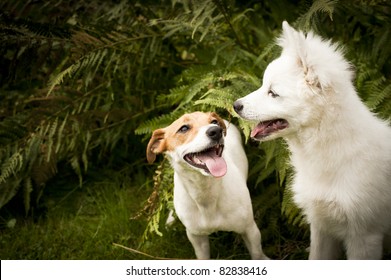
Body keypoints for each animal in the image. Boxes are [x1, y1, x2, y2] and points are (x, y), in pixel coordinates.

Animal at [147, 111, 270, 260]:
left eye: (214, 122)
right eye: (184, 128)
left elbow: (257, 253)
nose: (215, 131)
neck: (205, 193)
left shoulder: (250, 229)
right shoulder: (197, 238)